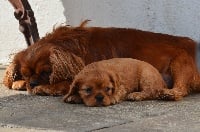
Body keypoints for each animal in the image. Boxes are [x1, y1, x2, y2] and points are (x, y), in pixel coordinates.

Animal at [3, 20, 200, 99]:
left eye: (46, 73)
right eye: (26, 74)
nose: (32, 83)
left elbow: (62, 84)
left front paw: (43, 88)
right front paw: (20, 82)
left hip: (179, 63)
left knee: (182, 88)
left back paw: (170, 93)